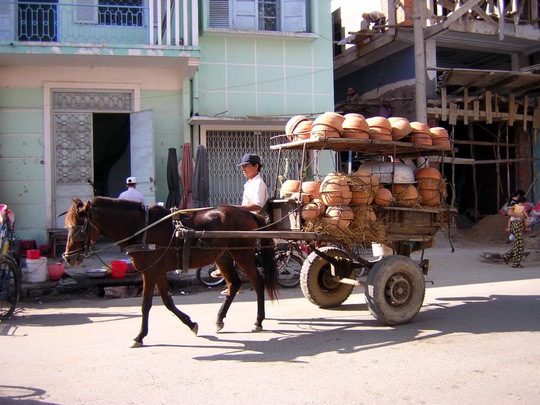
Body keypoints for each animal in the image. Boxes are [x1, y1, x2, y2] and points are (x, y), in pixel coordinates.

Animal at [64, 197, 278, 346]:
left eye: (78, 228)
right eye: (68, 226)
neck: (142, 229)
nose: (69, 258)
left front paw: (139, 336)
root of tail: (249, 214)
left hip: (242, 254)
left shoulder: (149, 272)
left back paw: (258, 321)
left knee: (258, 282)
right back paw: (219, 319)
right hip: (223, 256)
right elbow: (167, 302)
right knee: (234, 284)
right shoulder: (157, 272)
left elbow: (146, 305)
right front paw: (191, 324)